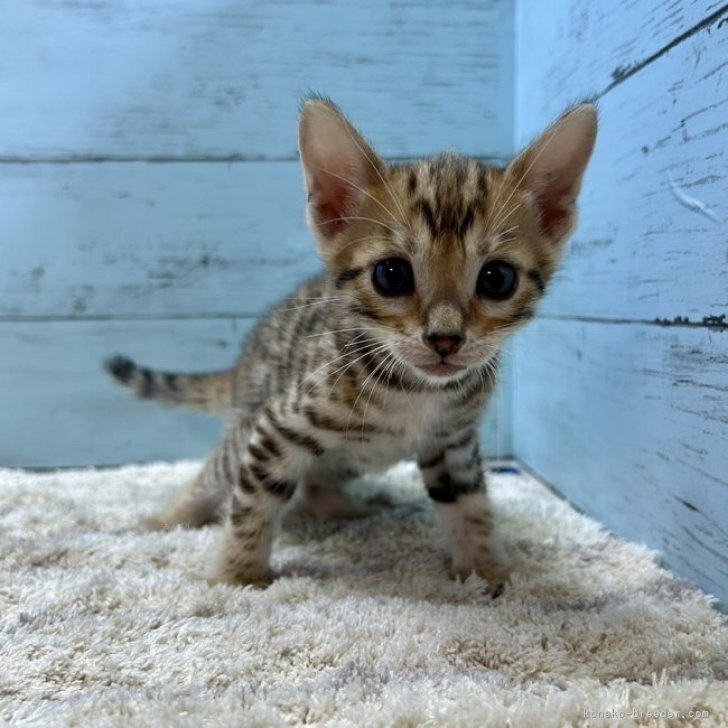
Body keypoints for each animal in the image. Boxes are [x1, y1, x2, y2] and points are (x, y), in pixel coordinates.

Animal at [106, 98, 596, 592]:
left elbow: (470, 506)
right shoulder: (278, 425)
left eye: (498, 279)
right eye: (391, 275)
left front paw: (484, 572)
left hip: (343, 458)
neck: (415, 390)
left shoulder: (453, 442)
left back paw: (352, 508)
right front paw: (237, 576)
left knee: (319, 482)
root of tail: (245, 360)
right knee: (214, 472)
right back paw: (166, 519)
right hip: (251, 423)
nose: (444, 338)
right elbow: (251, 506)